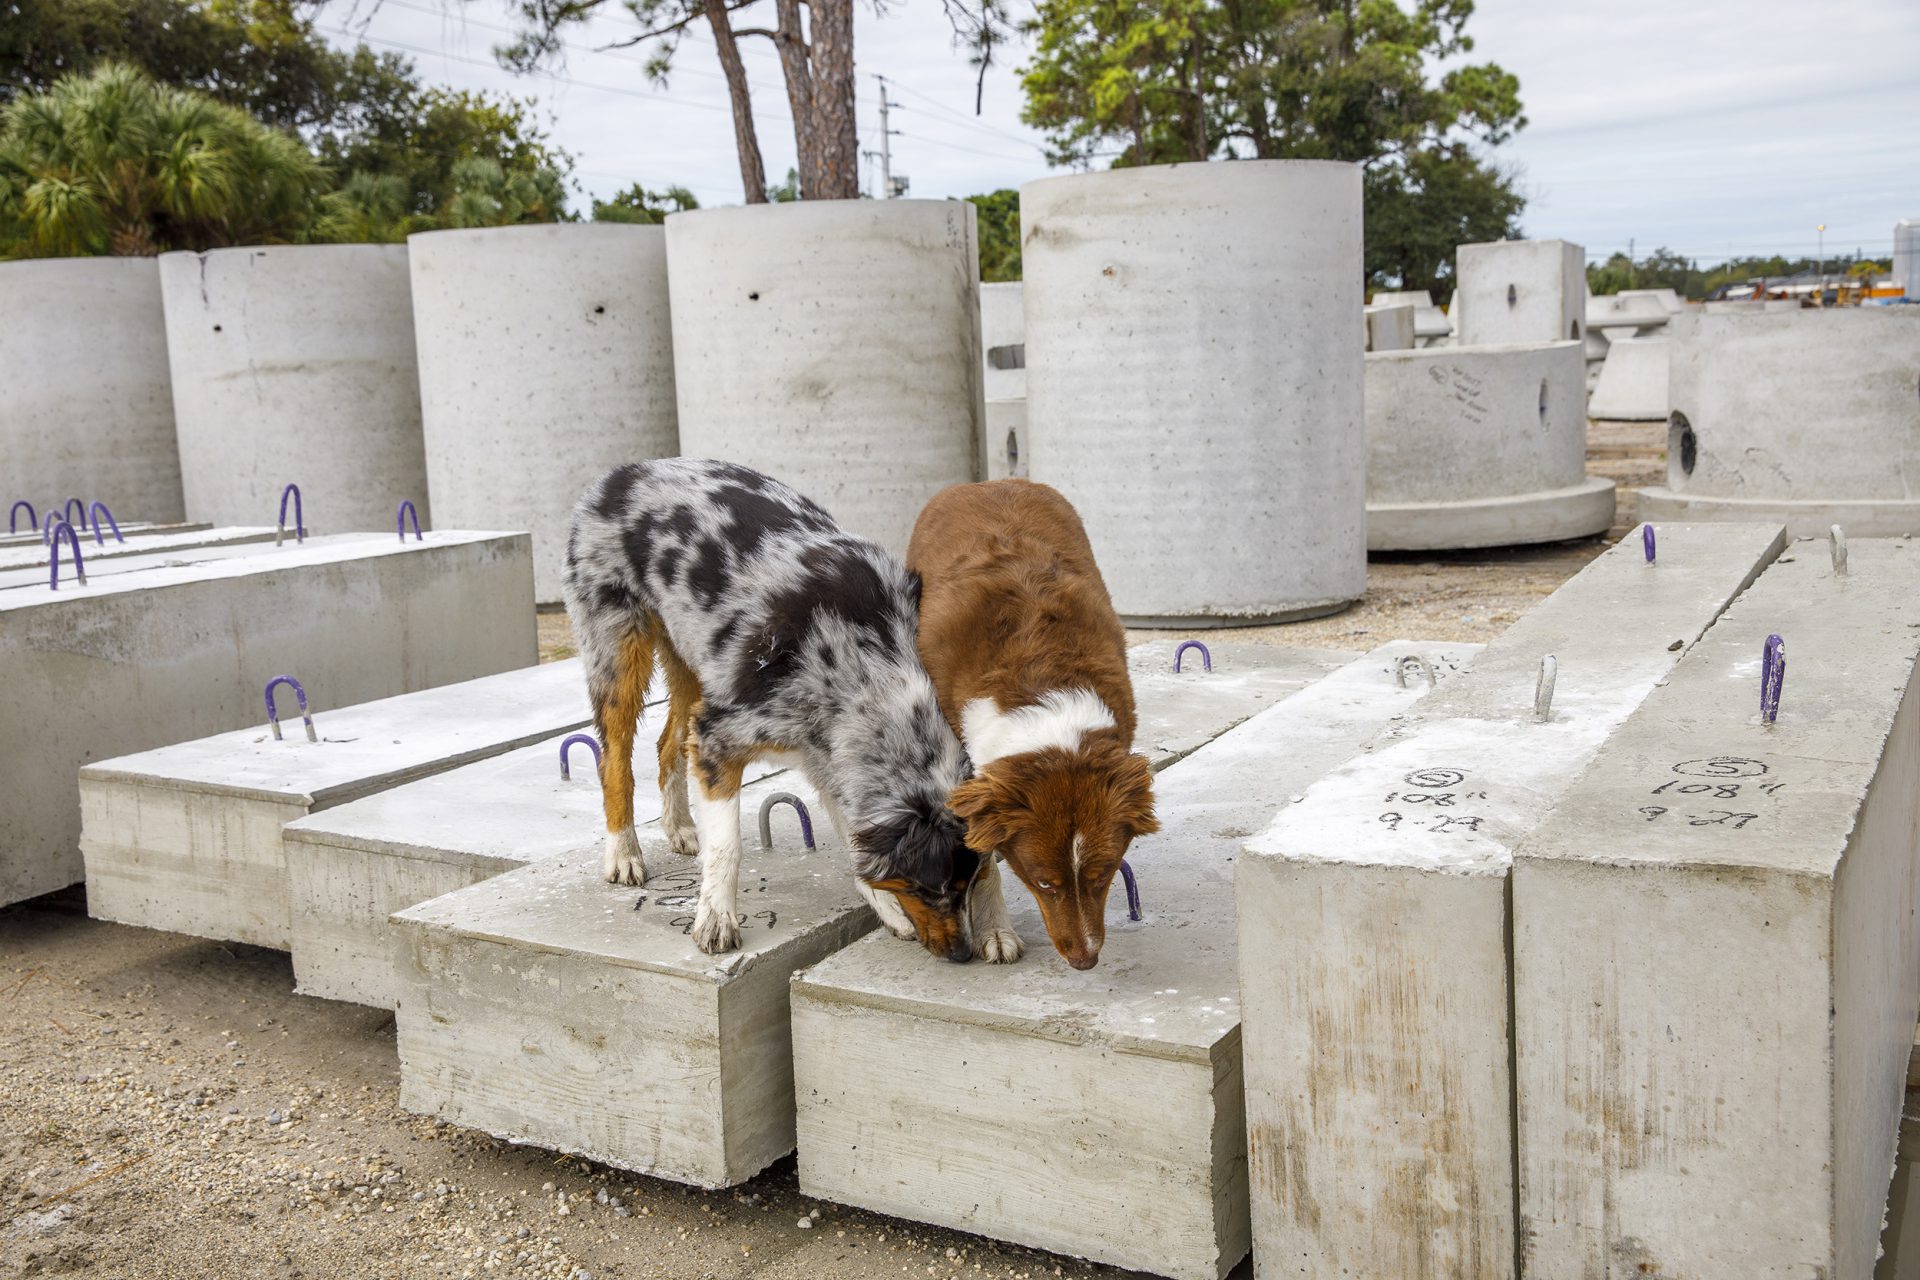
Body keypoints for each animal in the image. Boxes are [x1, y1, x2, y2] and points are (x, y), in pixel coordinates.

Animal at [556, 462, 975, 959]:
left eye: (970, 883)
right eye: (929, 889)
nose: (964, 954)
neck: (868, 659)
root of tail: (626, 472)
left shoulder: (827, 755)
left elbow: (853, 840)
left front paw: (886, 910)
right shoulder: (720, 735)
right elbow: (727, 847)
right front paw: (716, 919)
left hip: (695, 661)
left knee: (667, 743)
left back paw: (679, 827)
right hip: (620, 654)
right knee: (615, 760)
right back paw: (623, 853)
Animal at [910, 479, 1159, 971]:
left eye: (1103, 875)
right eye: (1043, 883)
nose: (1085, 960)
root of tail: (987, 482)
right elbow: (981, 856)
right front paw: (996, 932)